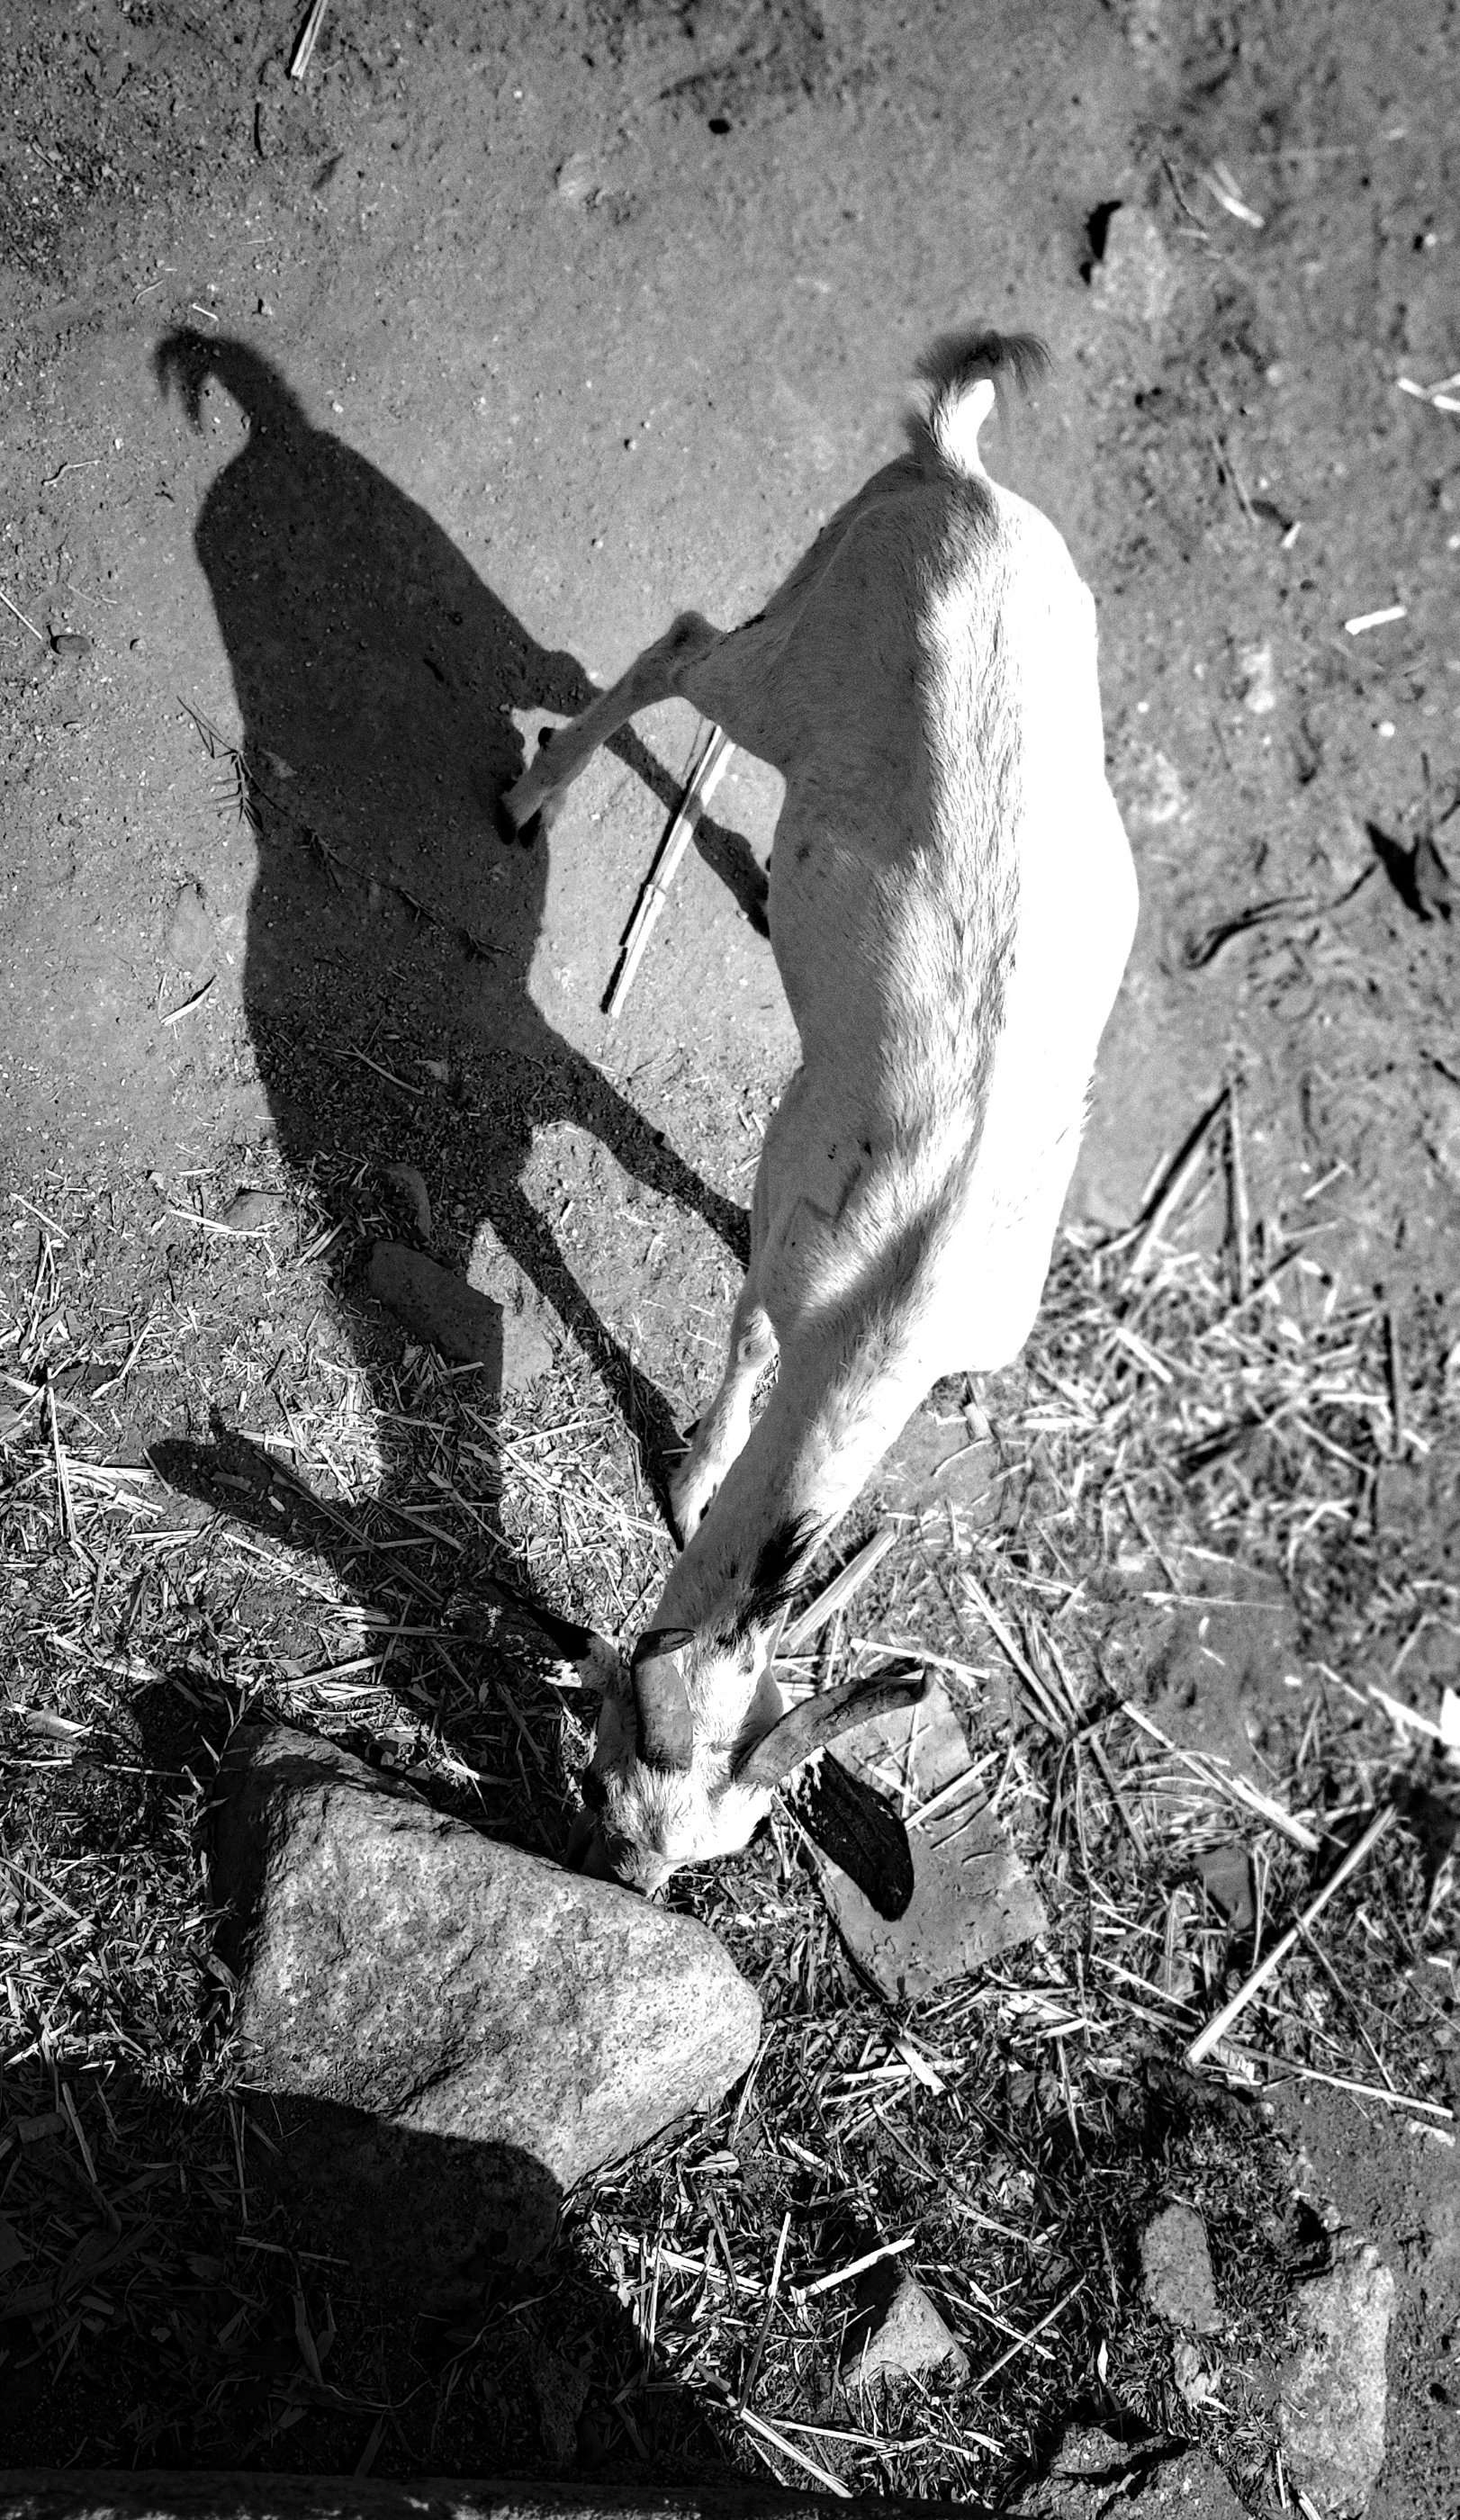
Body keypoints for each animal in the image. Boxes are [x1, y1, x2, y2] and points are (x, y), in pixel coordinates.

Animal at [499, 332, 1138, 1909]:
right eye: (608, 1781)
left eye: (717, 1843)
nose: (617, 1886)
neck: (910, 1284)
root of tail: (960, 476)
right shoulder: (799, 1201)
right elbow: (740, 1328)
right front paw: (692, 1476)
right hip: (783, 666)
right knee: (676, 644)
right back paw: (527, 798)